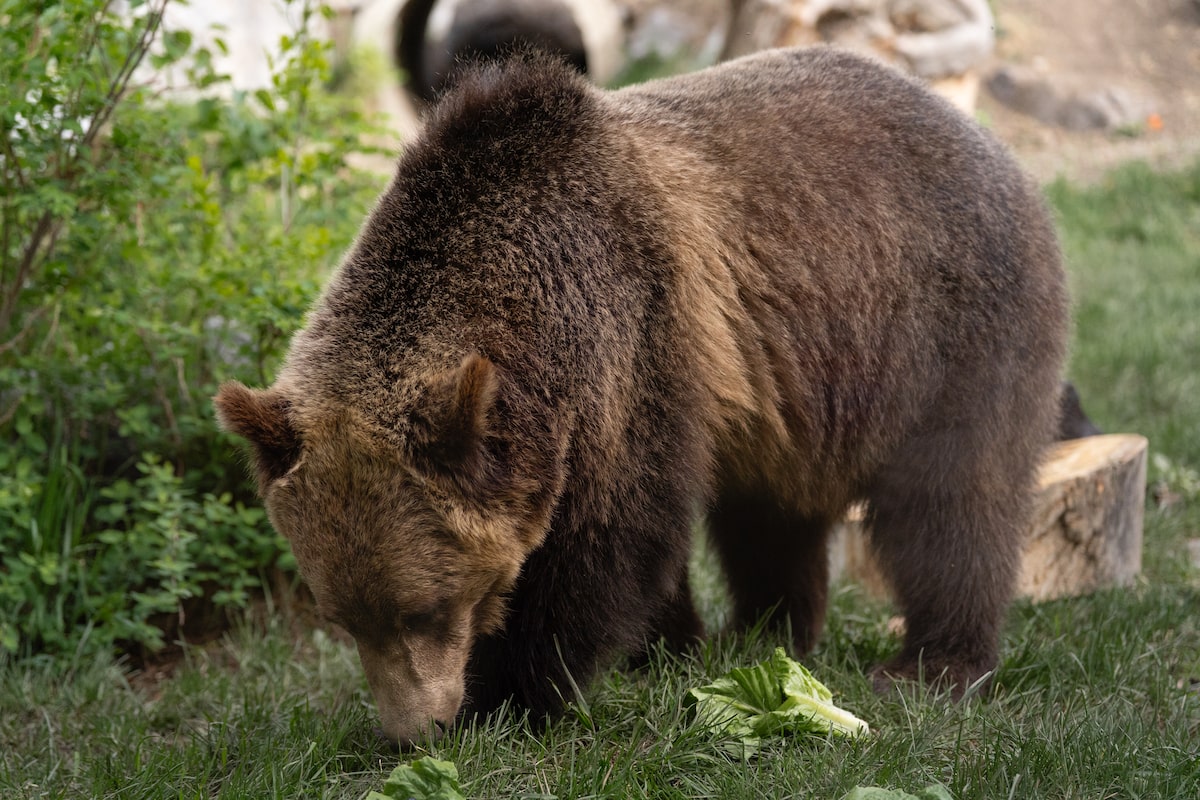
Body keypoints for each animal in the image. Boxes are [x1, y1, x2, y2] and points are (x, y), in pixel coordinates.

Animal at [214, 46, 1069, 746]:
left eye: (425, 608)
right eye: (341, 617)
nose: (413, 728)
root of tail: (989, 141)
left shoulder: (632, 347)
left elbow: (606, 543)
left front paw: (512, 695)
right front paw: (668, 650)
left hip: (949, 327)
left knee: (954, 501)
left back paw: (934, 664)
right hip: (799, 389)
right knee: (772, 514)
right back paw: (766, 633)